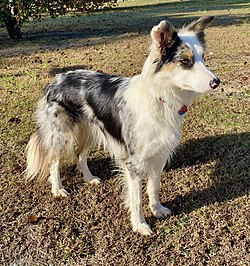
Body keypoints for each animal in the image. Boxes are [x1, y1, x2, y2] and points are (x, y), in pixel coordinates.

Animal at [25, 16, 221, 235]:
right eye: (185, 61)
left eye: (202, 57)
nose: (216, 82)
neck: (160, 95)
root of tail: (57, 79)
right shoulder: (134, 163)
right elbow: (136, 199)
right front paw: (140, 224)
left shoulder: (159, 155)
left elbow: (153, 188)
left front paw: (157, 209)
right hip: (61, 134)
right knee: (54, 161)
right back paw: (57, 189)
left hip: (91, 130)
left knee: (80, 155)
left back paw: (89, 178)